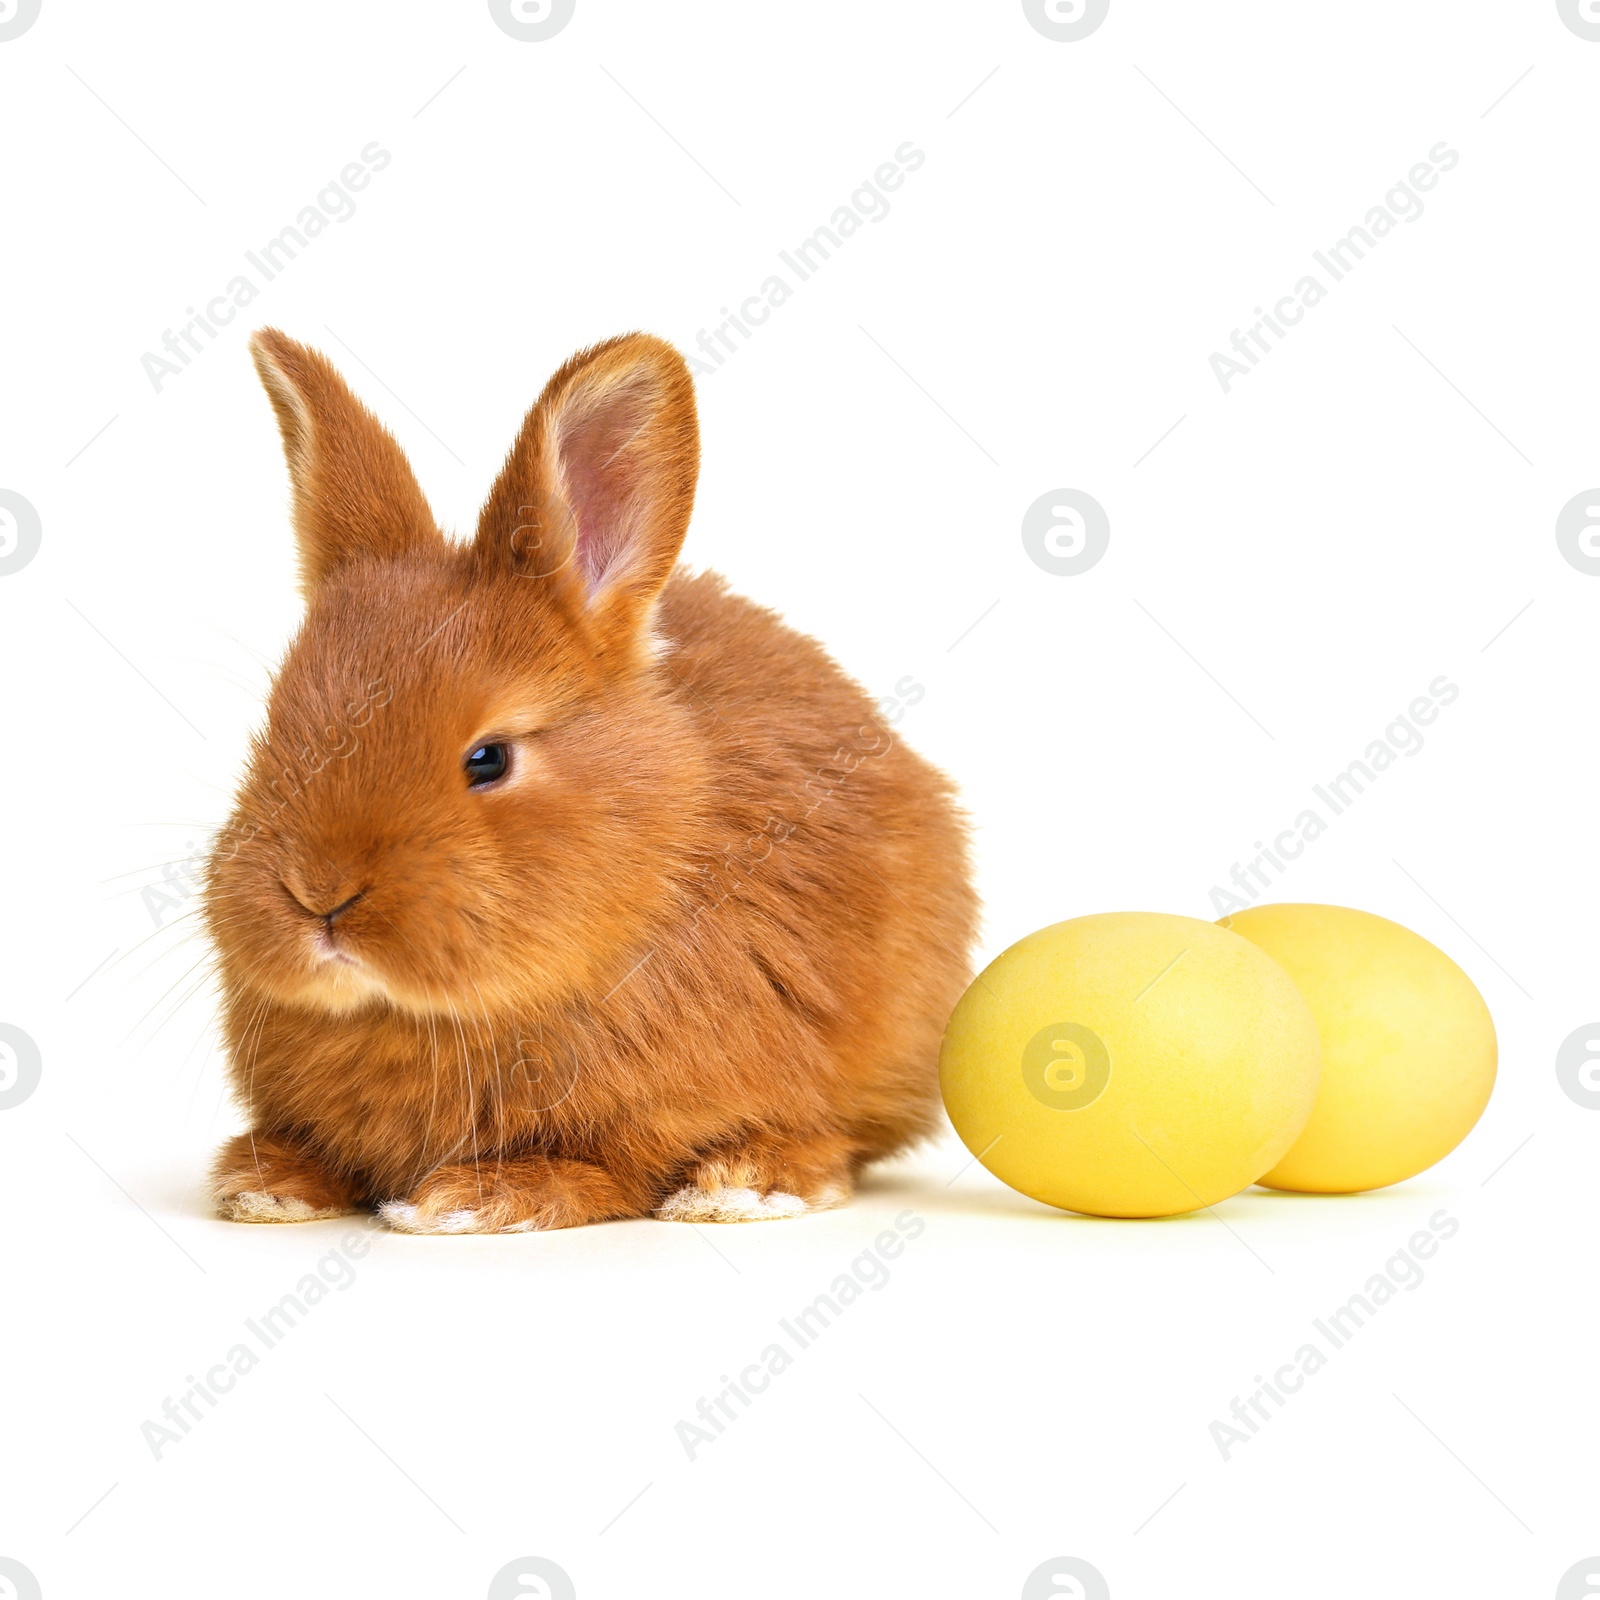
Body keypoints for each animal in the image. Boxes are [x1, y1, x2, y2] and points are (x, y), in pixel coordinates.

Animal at [204, 321, 972, 1222]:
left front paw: (471, 1201)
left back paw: (746, 1184)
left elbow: (602, 1168)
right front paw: (267, 1183)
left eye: (488, 758)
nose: (318, 894)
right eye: (274, 728)